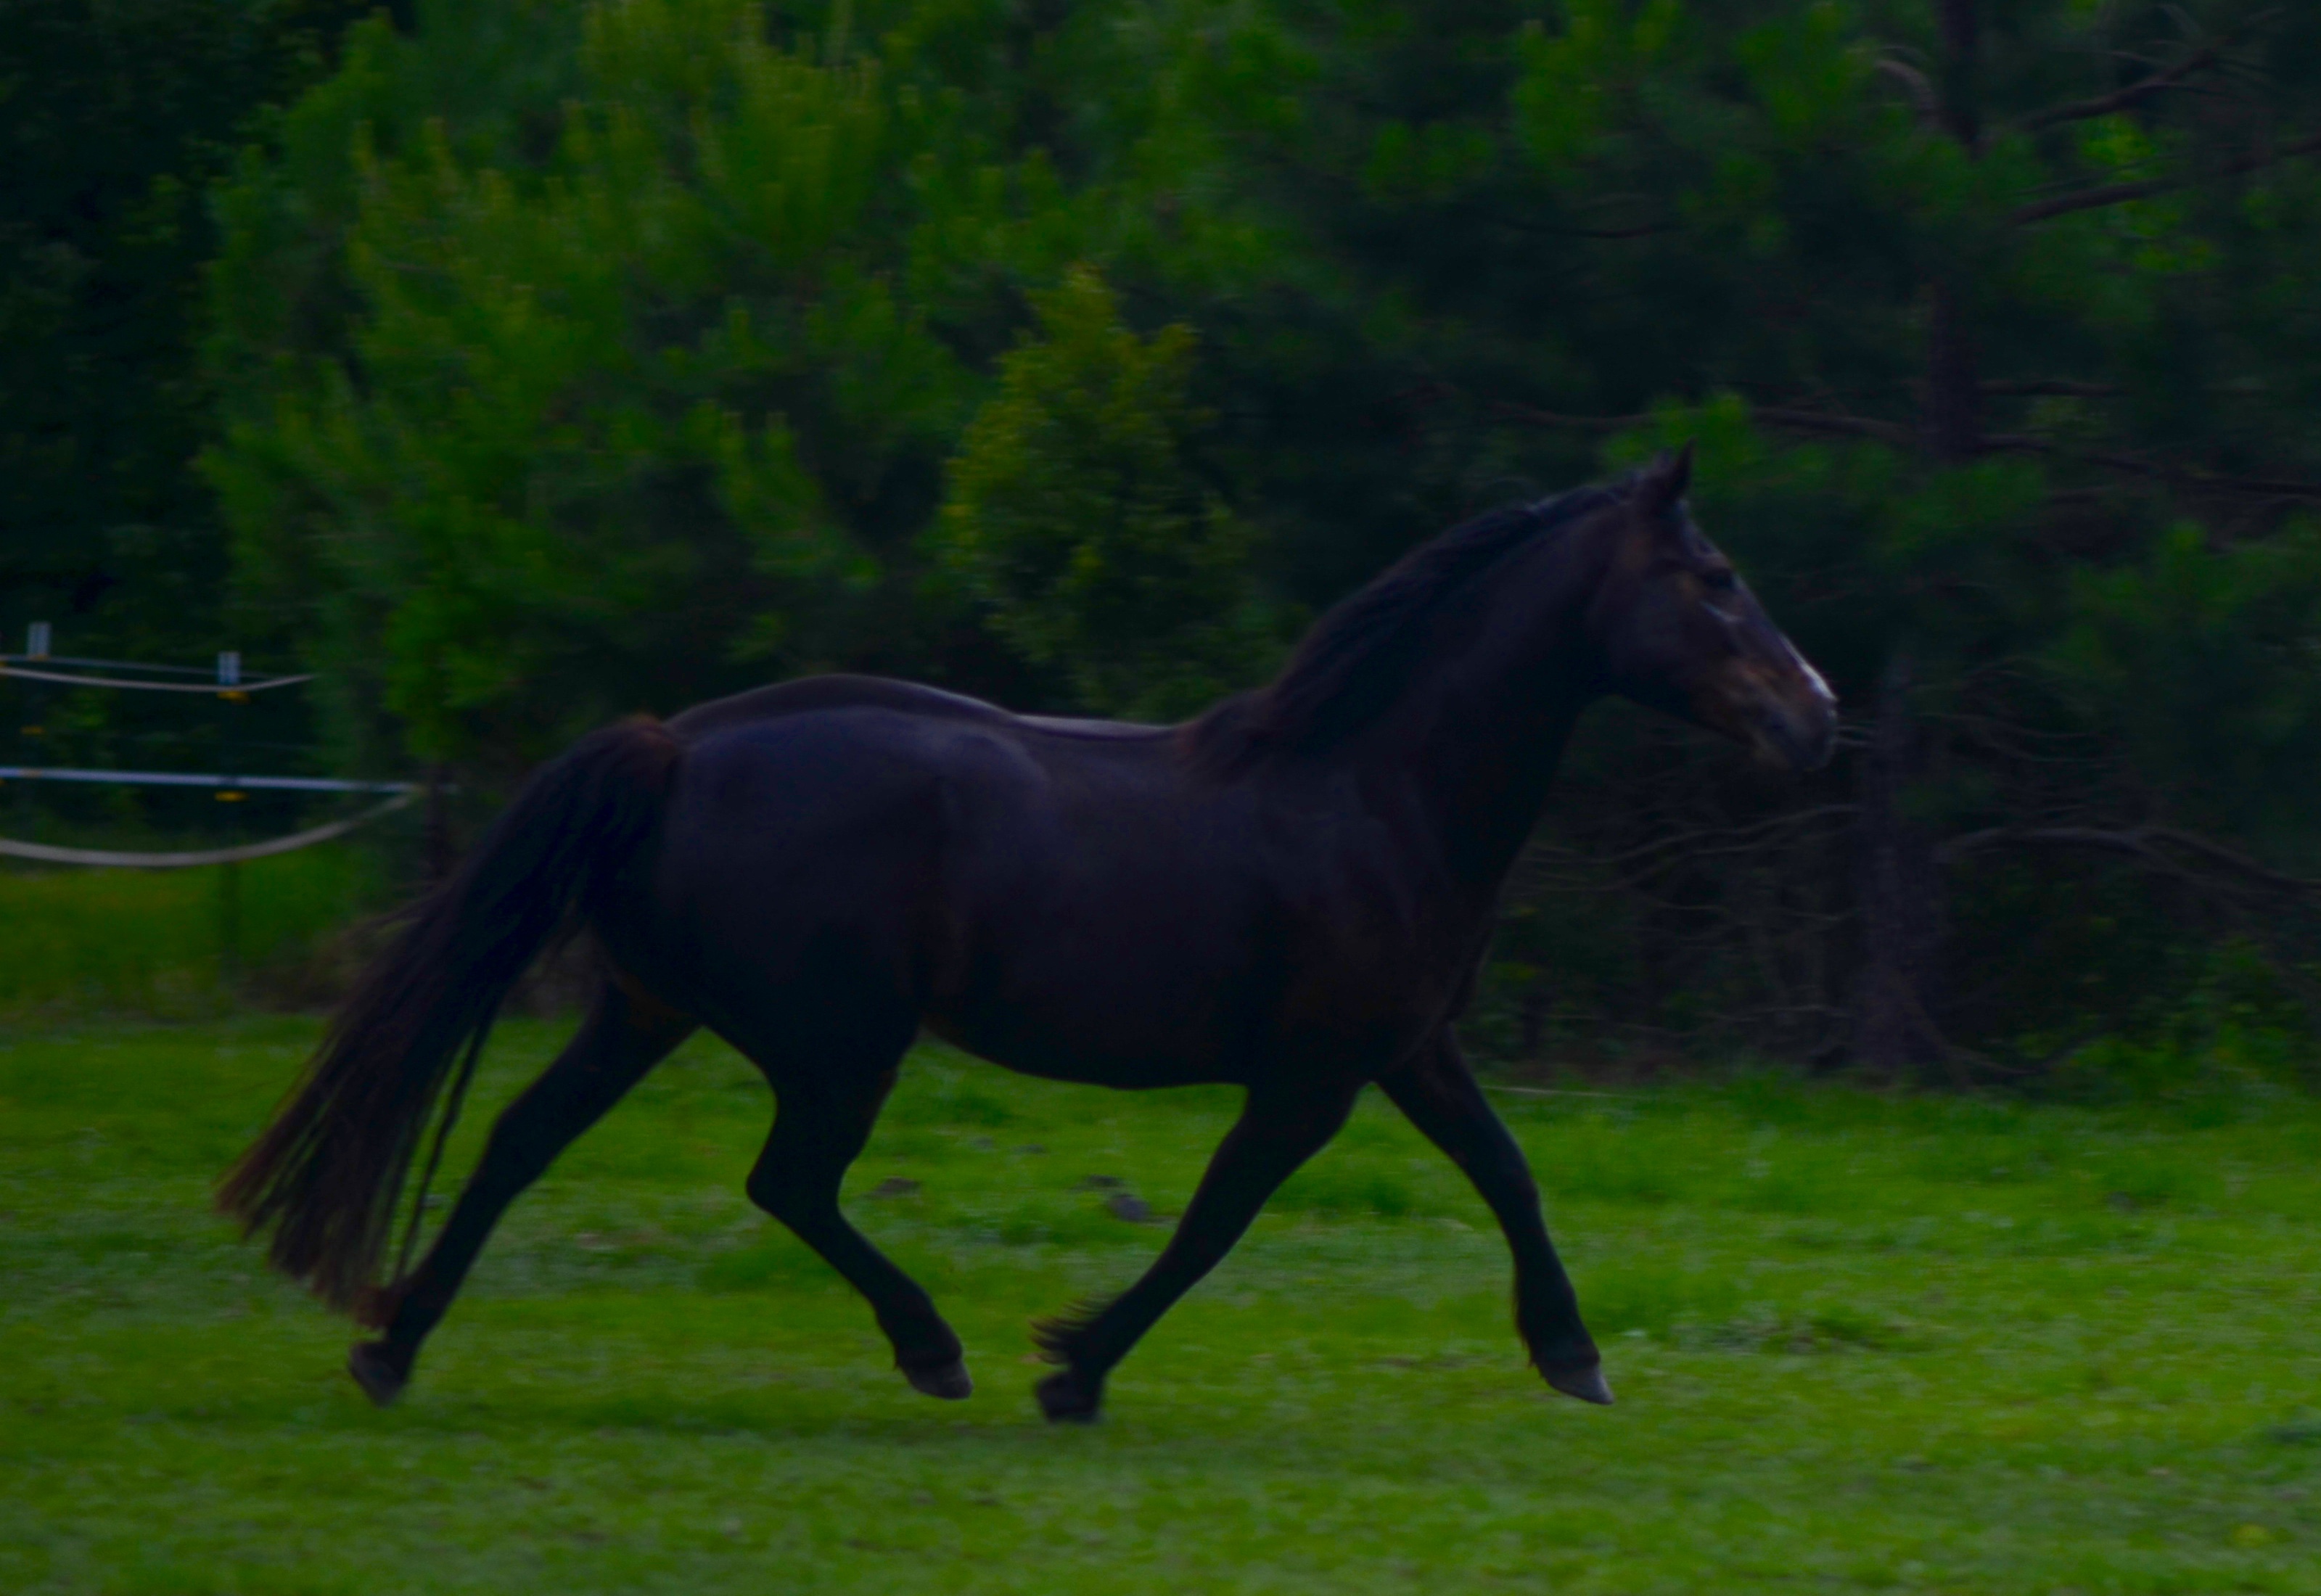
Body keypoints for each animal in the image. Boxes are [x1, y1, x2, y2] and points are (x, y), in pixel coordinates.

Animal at [219, 445, 1835, 1422]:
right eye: (1712, 581)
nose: (1813, 715)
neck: (1374, 788)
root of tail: (679, 746)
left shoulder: (1408, 1047)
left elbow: (1508, 1174)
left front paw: (1570, 1353)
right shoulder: (1312, 1074)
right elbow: (1213, 1221)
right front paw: (1071, 1370)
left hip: (646, 1008)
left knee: (517, 1140)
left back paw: (391, 1346)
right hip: (836, 1043)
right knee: (787, 1181)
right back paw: (929, 1347)